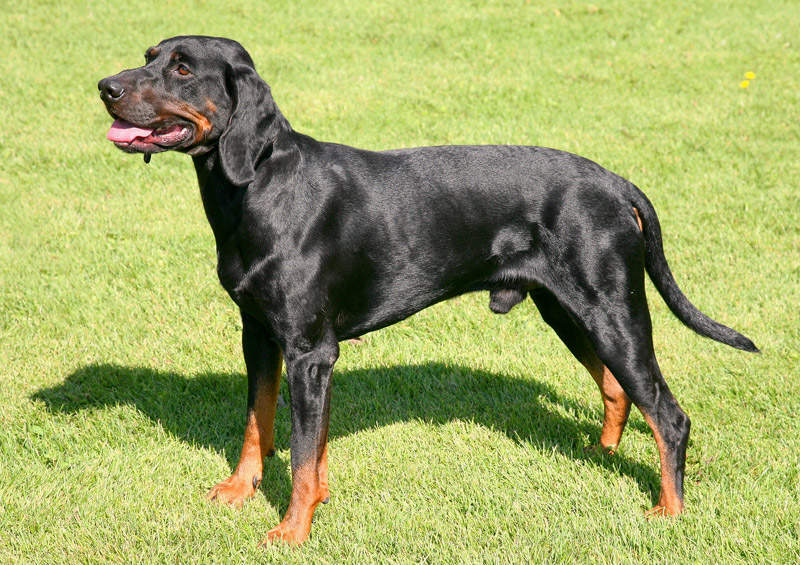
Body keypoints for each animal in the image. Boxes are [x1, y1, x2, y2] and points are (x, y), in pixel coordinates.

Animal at [98, 36, 756, 548]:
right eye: (149, 57)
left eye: (183, 68)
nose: (105, 86)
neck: (261, 187)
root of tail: (616, 183)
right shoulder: (259, 334)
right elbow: (259, 422)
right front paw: (241, 491)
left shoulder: (310, 352)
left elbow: (304, 454)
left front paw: (291, 530)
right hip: (569, 311)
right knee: (618, 389)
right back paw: (602, 456)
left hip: (613, 312)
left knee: (669, 415)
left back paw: (669, 512)